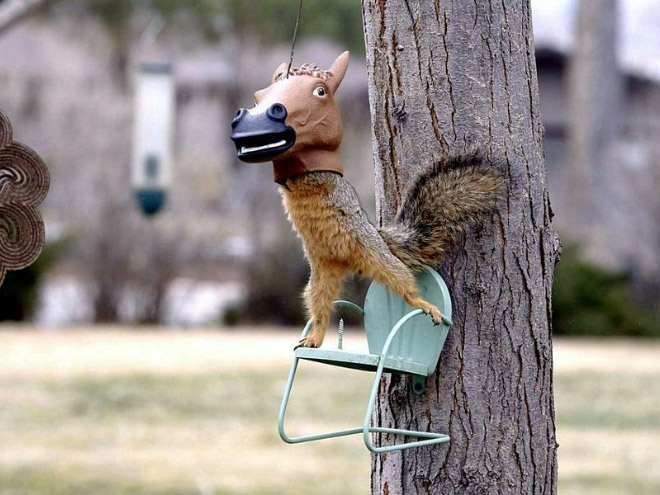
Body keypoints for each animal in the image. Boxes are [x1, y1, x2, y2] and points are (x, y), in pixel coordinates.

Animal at [229, 52, 502, 348]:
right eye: (258, 97)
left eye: (320, 91)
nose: (253, 120)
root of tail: (375, 238)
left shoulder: (321, 177)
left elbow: (303, 179)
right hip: (321, 277)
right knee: (321, 309)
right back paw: (314, 337)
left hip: (378, 256)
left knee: (404, 284)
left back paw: (423, 303)